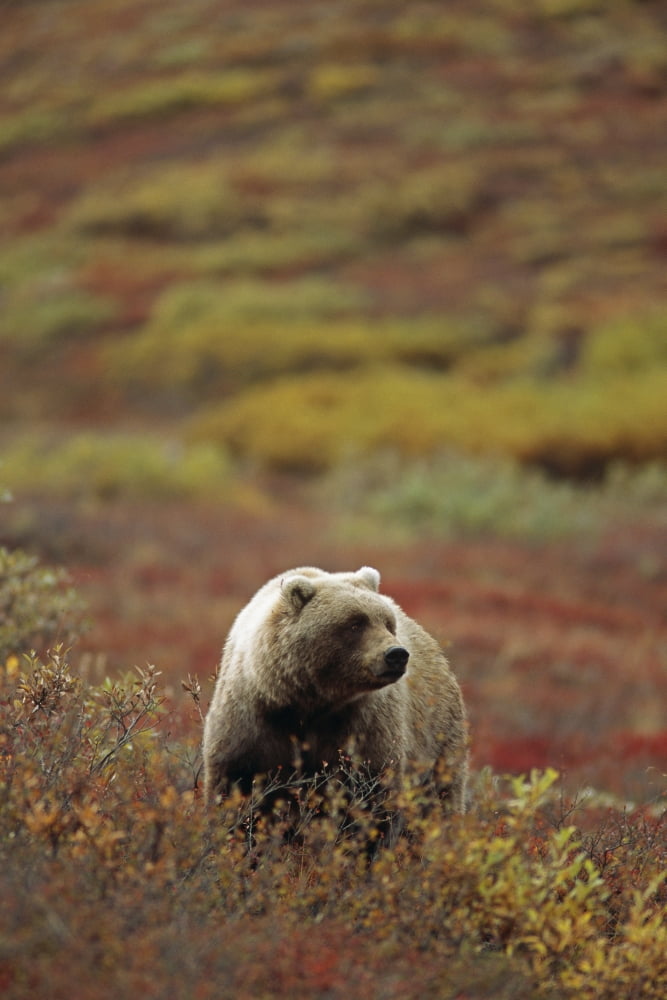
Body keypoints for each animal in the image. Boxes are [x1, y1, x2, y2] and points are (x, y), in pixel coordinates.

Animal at [202, 565, 468, 833]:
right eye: (355, 623)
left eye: (387, 622)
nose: (397, 654)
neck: (308, 703)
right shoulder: (250, 724)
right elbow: (232, 786)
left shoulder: (364, 728)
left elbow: (375, 795)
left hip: (439, 737)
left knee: (441, 793)